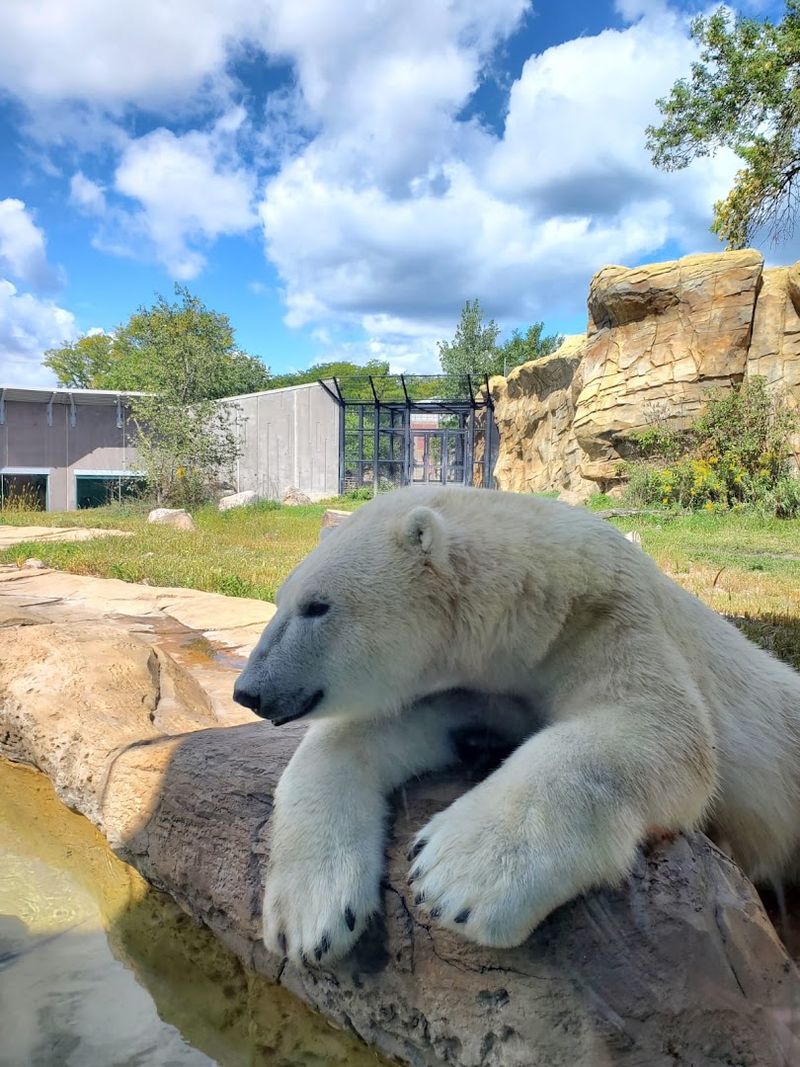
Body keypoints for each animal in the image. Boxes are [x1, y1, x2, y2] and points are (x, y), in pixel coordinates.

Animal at [233, 484, 800, 965]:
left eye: (317, 606)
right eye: (282, 599)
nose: (249, 690)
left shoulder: (611, 621)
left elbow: (661, 731)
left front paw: (457, 877)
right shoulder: (473, 686)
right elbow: (376, 732)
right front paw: (310, 917)